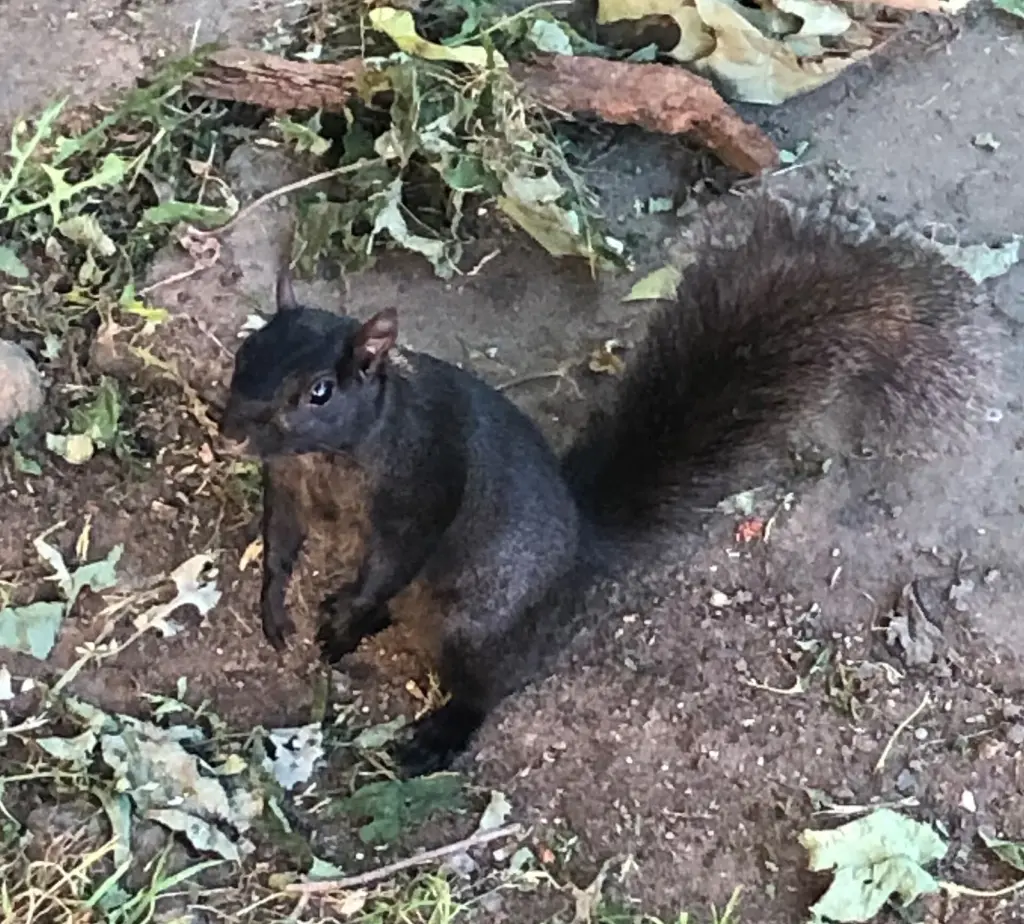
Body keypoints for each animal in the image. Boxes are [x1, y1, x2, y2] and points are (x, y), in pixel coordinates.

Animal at [219, 194, 988, 777]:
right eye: (244, 351)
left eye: (318, 391)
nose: (231, 432)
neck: (330, 458)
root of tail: (580, 548)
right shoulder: (286, 486)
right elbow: (281, 542)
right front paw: (275, 608)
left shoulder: (420, 490)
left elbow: (389, 559)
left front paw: (341, 613)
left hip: (480, 627)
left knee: (486, 690)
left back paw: (432, 734)